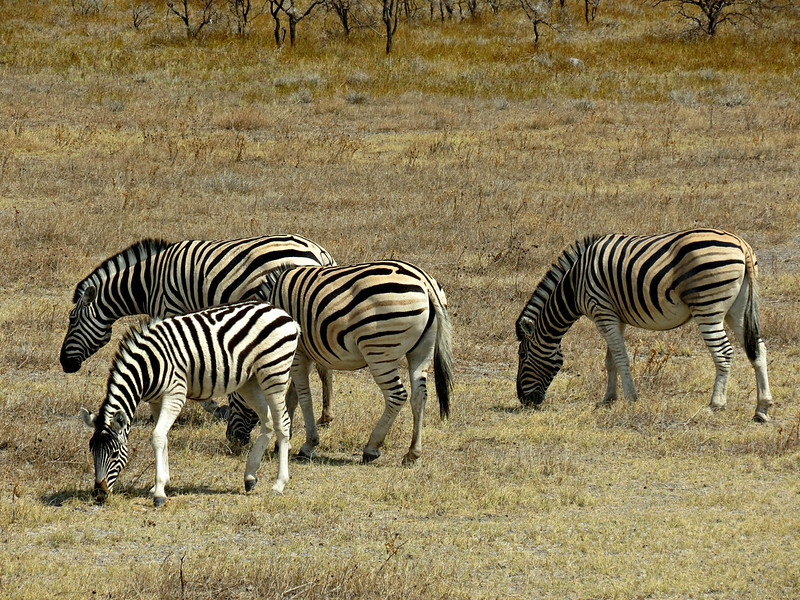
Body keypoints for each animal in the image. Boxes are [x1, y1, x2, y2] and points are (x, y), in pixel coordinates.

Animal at [61, 234, 334, 426]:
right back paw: (325, 416)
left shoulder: (170, 310)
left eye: (72, 320)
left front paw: (218, 409)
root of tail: (319, 253)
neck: (147, 283)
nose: (64, 364)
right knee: (322, 366)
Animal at [79, 300, 298, 506]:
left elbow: (157, 437)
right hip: (249, 381)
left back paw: (278, 484)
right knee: (268, 421)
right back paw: (250, 476)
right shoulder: (156, 400)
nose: (99, 494)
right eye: (92, 451)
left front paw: (159, 493)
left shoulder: (175, 395)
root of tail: (282, 313)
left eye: (115, 454)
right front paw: (160, 484)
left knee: (282, 423)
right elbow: (164, 437)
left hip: (274, 373)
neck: (148, 367)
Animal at [225, 262, 454, 464]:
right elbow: (291, 396)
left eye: (232, 396)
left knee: (397, 396)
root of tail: (425, 282)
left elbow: (303, 396)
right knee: (419, 397)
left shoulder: (297, 352)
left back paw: (371, 448)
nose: (231, 440)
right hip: (421, 351)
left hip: (379, 349)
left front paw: (308, 445)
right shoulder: (303, 354)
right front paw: (283, 442)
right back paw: (412, 453)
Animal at [516, 229, 772, 422]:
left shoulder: (602, 310)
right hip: (738, 309)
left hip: (708, 305)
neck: (574, 283)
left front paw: (631, 398)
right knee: (758, 349)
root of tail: (742, 245)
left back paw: (715, 405)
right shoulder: (614, 316)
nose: (523, 401)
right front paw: (608, 399)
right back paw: (762, 409)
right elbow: (610, 360)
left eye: (523, 356)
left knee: (723, 352)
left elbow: (621, 357)